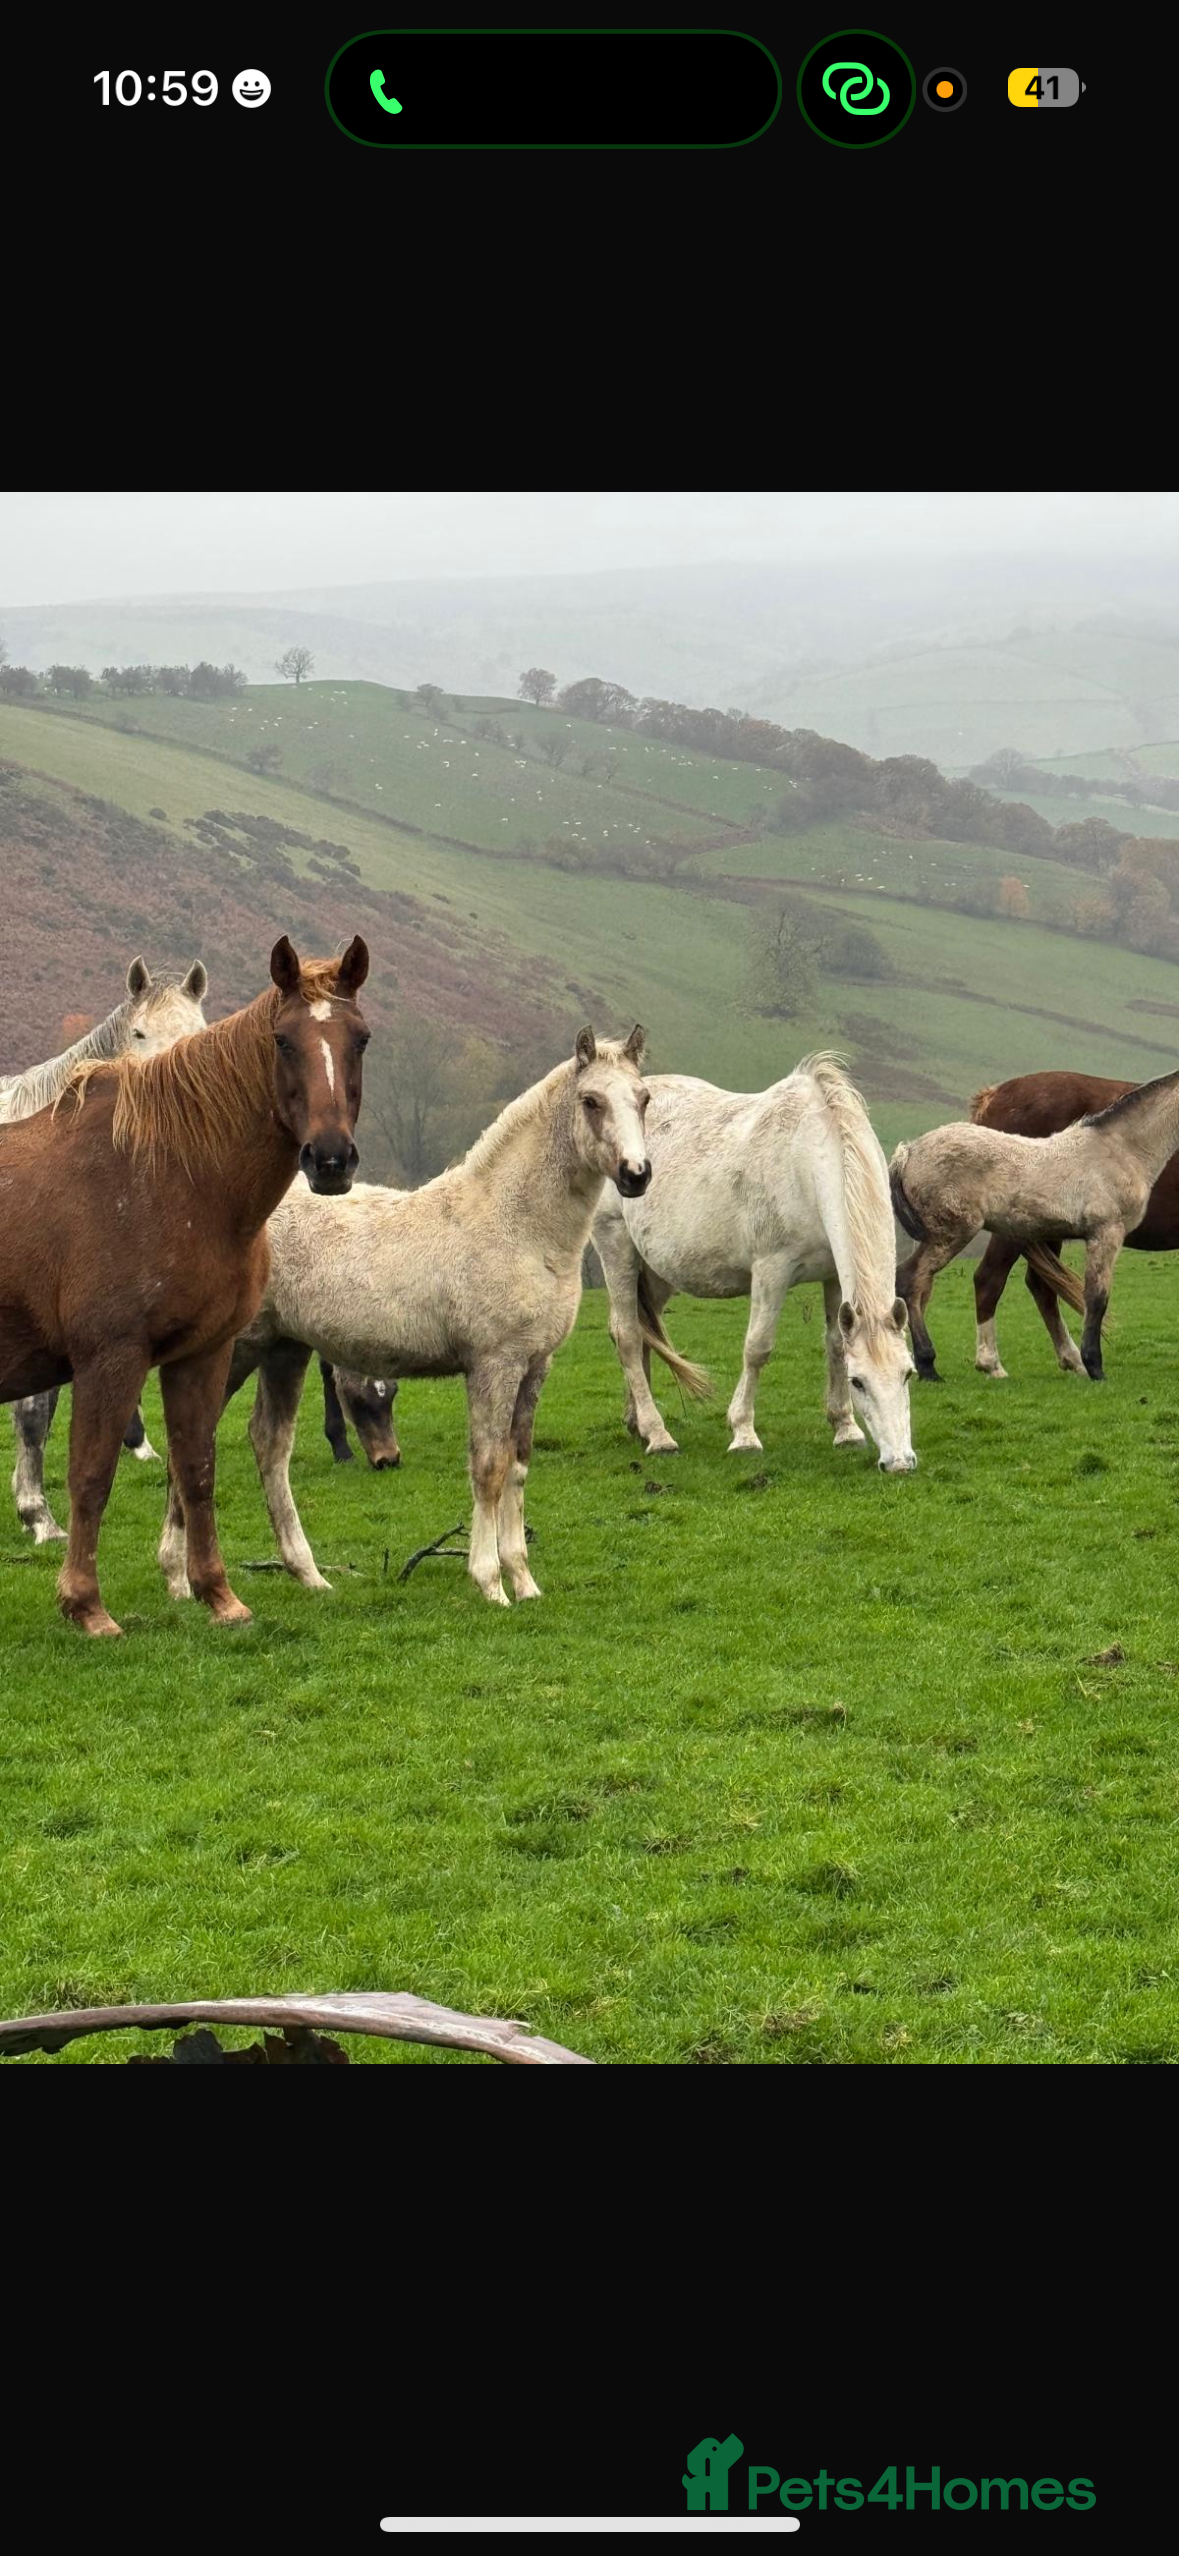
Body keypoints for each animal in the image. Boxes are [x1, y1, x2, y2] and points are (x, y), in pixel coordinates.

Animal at [157, 1023, 651, 1608]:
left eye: (644, 1098)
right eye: (591, 1101)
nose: (637, 1174)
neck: (516, 1225)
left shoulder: (535, 1365)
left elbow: (518, 1466)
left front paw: (525, 1582)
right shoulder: (493, 1365)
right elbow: (488, 1466)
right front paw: (490, 1583)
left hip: (284, 1350)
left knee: (269, 1444)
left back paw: (308, 1574)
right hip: (238, 1349)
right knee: (194, 1439)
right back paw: (177, 1578)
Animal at [592, 1053, 917, 1472]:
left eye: (907, 1374)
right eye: (859, 1381)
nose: (899, 1462)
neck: (807, 1159)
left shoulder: (833, 1278)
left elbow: (834, 1344)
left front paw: (845, 1429)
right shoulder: (770, 1272)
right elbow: (757, 1348)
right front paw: (743, 1433)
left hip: (655, 1271)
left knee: (644, 1332)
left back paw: (637, 1424)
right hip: (615, 1246)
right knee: (629, 1335)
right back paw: (658, 1434)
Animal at [890, 1062, 1179, 1384]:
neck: (1119, 1148)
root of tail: (907, 1152)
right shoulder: (1106, 1232)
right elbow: (1097, 1298)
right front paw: (1095, 1366)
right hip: (954, 1233)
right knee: (916, 1280)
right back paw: (934, 1366)